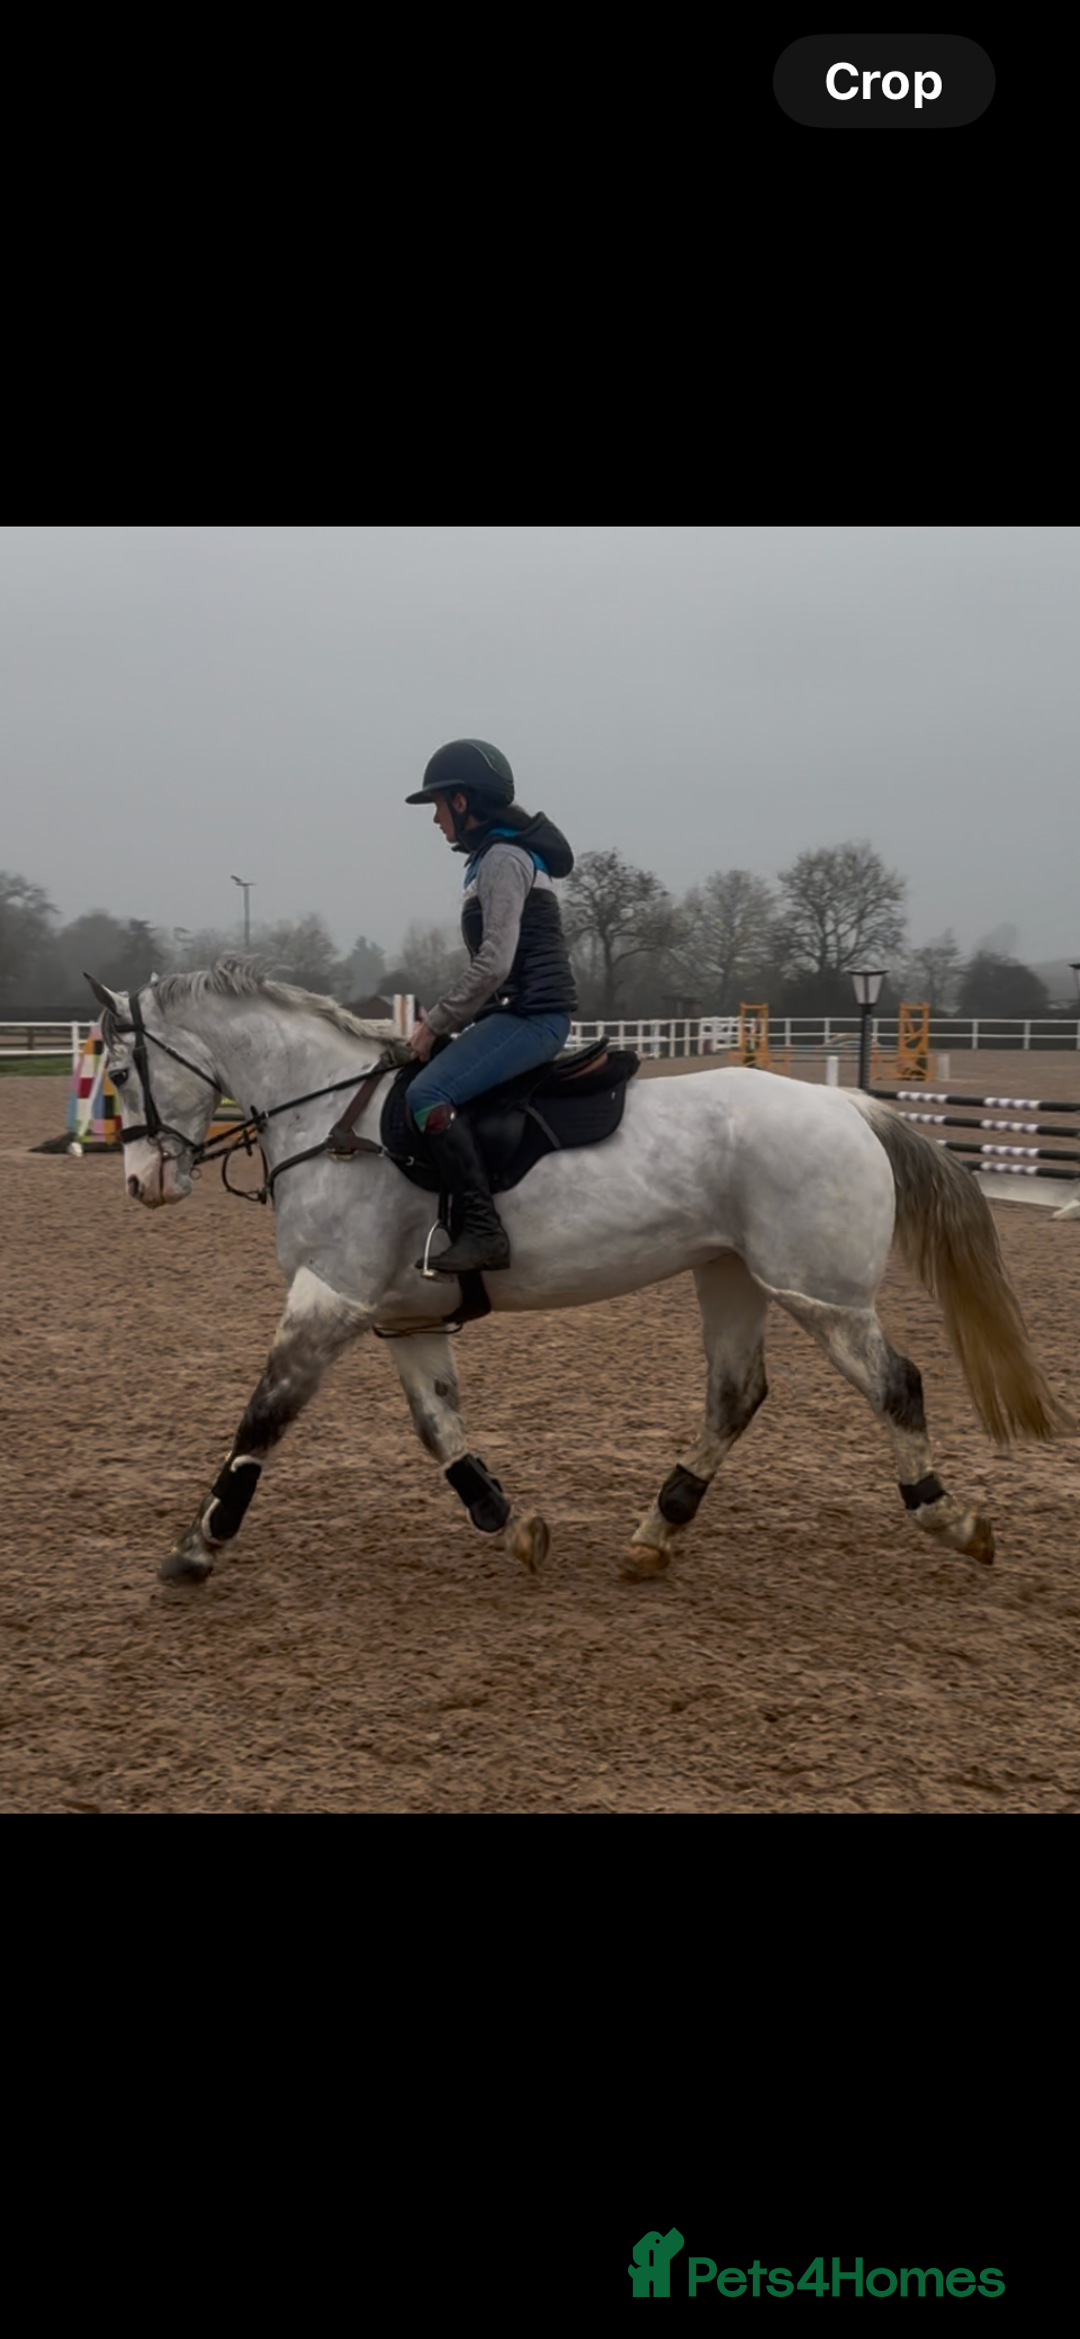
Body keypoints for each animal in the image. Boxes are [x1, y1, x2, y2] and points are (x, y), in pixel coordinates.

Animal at [85, 960, 1074, 1586]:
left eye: (121, 1071)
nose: (140, 1182)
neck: (337, 1121)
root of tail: (852, 1105)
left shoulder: (329, 1299)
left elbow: (263, 1415)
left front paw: (198, 1546)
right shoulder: (404, 1317)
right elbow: (439, 1429)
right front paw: (509, 1522)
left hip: (819, 1294)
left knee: (896, 1384)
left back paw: (950, 1518)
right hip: (733, 1277)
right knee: (735, 1395)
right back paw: (655, 1533)